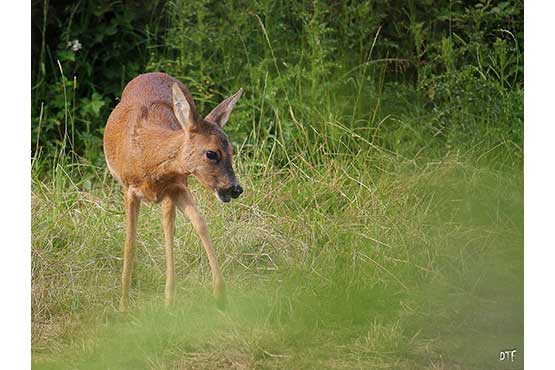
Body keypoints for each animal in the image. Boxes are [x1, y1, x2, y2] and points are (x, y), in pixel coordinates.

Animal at [104, 71, 243, 310]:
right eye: (212, 153)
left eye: (231, 150)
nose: (235, 189)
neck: (147, 156)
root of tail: (153, 73)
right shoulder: (129, 190)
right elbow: (130, 243)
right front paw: (123, 306)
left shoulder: (177, 187)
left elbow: (200, 224)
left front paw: (220, 295)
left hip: (173, 191)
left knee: (168, 227)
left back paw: (169, 298)